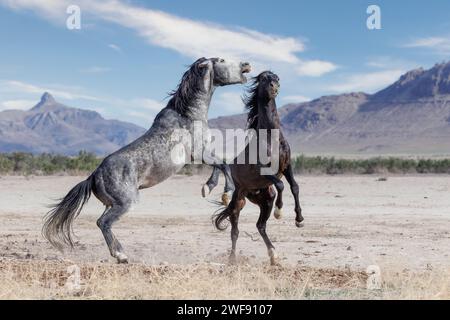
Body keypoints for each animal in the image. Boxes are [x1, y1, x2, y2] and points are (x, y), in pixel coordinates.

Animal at [42, 57, 251, 262]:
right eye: (221, 60)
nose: (246, 65)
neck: (188, 114)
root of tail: (93, 176)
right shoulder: (198, 152)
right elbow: (224, 165)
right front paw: (225, 193)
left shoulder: (202, 153)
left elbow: (218, 166)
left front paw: (207, 188)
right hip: (126, 203)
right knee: (103, 222)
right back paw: (121, 254)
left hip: (113, 204)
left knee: (104, 222)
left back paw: (121, 255)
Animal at [210, 71, 302, 266]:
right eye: (264, 78)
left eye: (277, 78)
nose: (275, 87)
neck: (271, 138)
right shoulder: (264, 171)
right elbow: (282, 185)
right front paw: (279, 212)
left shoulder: (287, 166)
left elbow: (294, 187)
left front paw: (299, 219)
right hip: (239, 201)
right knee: (235, 230)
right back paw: (232, 259)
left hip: (266, 199)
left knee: (260, 226)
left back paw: (274, 256)